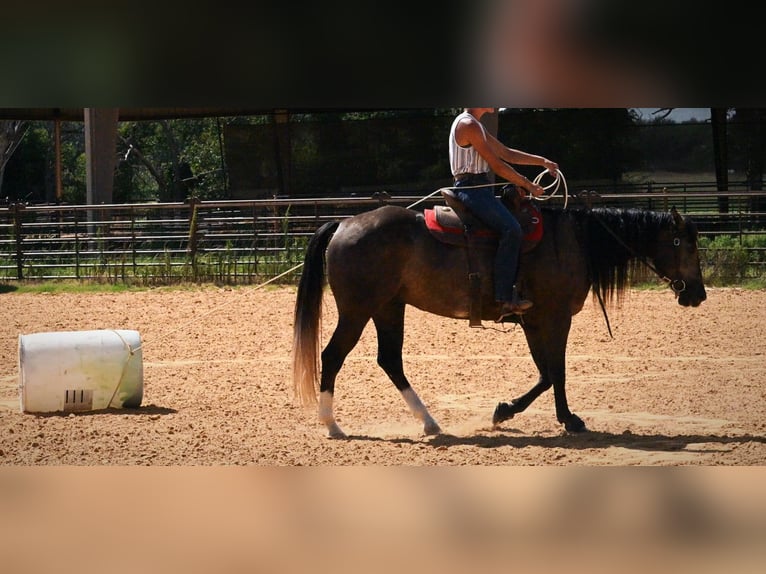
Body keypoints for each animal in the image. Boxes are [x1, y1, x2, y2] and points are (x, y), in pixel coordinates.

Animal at [292, 190, 707, 438]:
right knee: (332, 355)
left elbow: (545, 373)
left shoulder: (533, 320)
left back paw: (430, 423)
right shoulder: (555, 317)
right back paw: (332, 425)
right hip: (358, 309)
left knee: (390, 360)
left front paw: (508, 411)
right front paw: (565, 419)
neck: (572, 241)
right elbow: (556, 371)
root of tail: (344, 223)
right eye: (686, 245)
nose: (699, 294)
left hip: (389, 307)